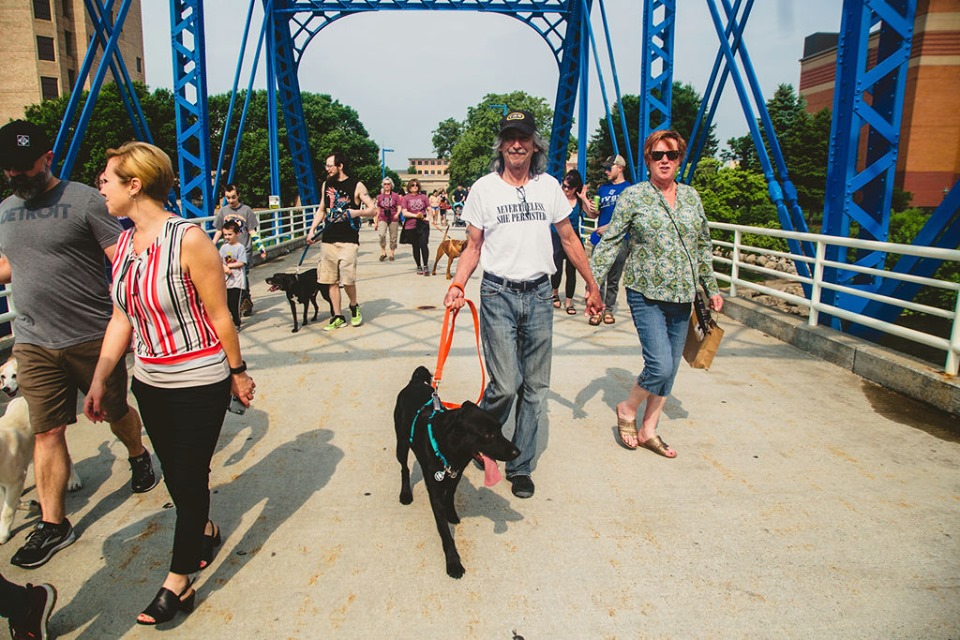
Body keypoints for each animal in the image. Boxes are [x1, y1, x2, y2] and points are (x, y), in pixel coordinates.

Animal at [0, 358, 81, 544]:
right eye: (2, 377)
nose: (5, 388)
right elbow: (12, 502)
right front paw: (31, 505)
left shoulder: (15, 480)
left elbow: (7, 510)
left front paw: (3, 533)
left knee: (68, 459)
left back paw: (73, 481)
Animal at [394, 364, 520, 580]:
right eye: (488, 434)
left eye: (500, 429)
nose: (517, 452)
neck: (450, 450)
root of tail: (415, 382)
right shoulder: (434, 492)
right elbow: (444, 531)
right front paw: (453, 563)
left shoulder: (456, 473)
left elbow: (451, 495)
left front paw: (451, 513)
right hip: (401, 444)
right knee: (404, 468)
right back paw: (405, 494)